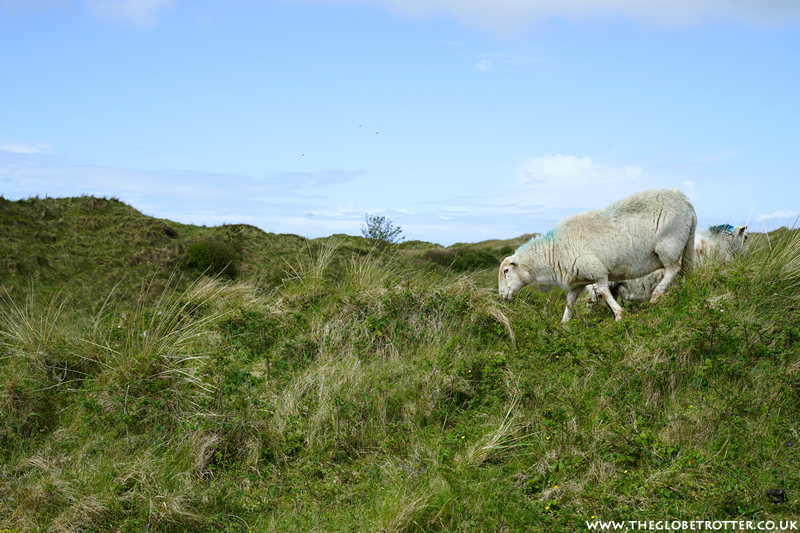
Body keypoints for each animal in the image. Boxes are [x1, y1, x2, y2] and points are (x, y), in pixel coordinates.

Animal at [496, 189, 696, 322]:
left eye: (506, 271)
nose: (502, 296)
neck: (552, 252)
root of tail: (686, 202)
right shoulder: (578, 282)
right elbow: (569, 302)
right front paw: (564, 325)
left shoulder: (597, 272)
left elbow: (605, 293)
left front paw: (619, 315)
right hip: (685, 246)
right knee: (682, 272)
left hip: (668, 246)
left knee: (673, 269)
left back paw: (656, 296)